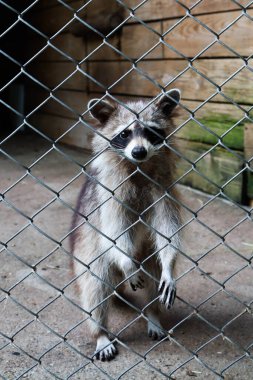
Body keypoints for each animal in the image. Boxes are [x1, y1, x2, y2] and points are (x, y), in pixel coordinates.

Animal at [70, 89, 182, 362]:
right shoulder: (110, 194)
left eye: (151, 131)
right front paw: (126, 261)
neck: (138, 167)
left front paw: (169, 265)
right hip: (88, 253)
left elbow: (169, 231)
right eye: (125, 134)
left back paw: (152, 313)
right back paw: (100, 333)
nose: (139, 152)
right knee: (96, 286)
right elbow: (114, 232)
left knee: (153, 269)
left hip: (146, 253)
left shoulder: (164, 188)